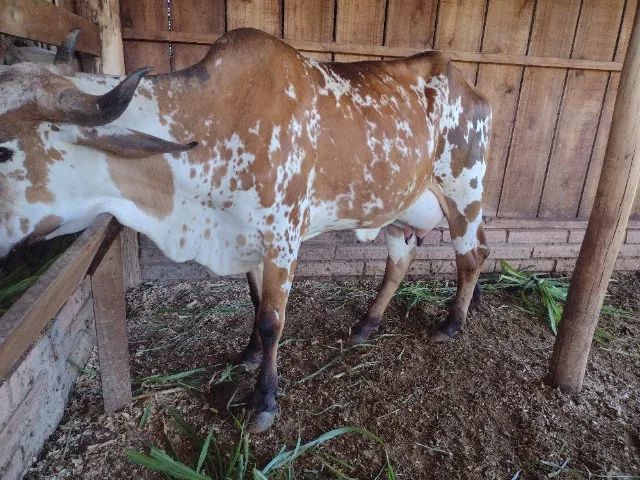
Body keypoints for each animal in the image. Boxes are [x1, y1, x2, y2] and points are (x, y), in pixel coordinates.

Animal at [0, 28, 491, 432]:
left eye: (4, 150)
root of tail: (467, 83)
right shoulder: (246, 236)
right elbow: (255, 304)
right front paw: (250, 353)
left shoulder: (283, 237)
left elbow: (273, 319)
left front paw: (265, 400)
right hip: (398, 209)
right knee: (401, 260)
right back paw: (367, 324)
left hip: (464, 191)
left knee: (473, 255)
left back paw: (452, 323)